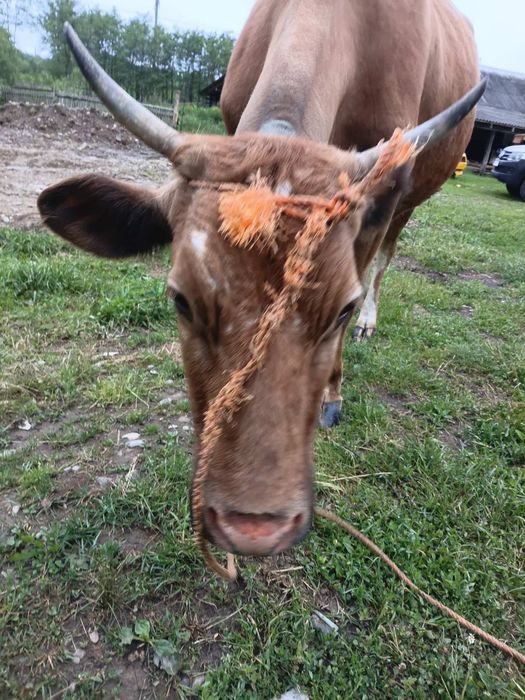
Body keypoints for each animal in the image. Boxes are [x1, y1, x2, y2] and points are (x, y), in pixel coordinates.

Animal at [38, 9, 482, 558]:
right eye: (181, 300)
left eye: (342, 307)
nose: (254, 529)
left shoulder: (378, 205)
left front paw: (334, 389)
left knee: (385, 259)